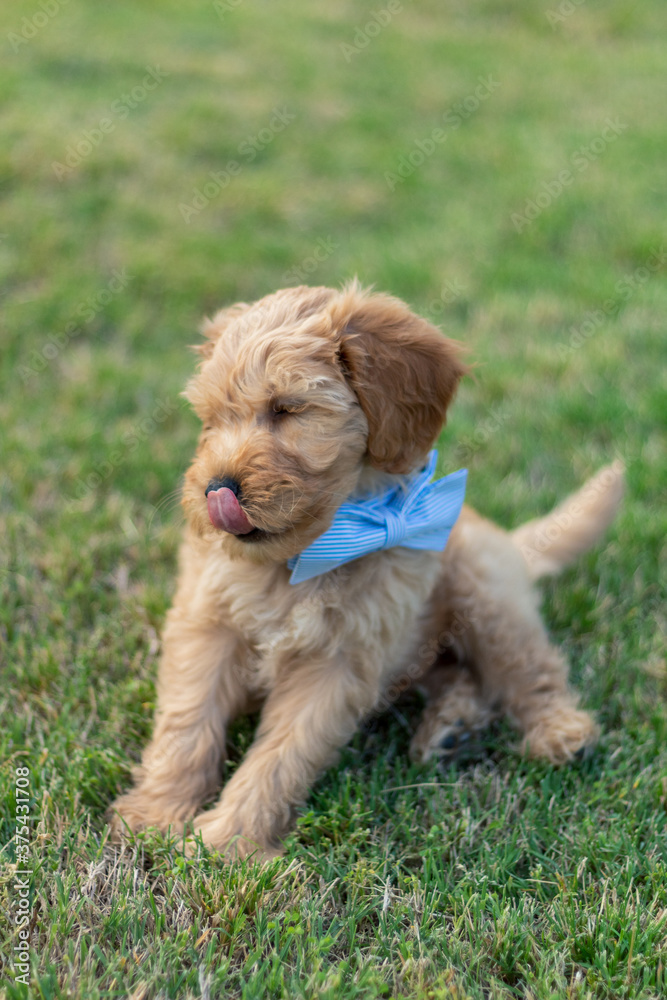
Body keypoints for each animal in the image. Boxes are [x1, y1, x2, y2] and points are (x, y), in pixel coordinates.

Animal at [107, 282, 624, 860]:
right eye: (211, 421)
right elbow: (186, 725)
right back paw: (453, 727)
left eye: (288, 408)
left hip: (486, 595)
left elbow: (280, 756)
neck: (304, 557)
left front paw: (231, 840)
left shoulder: (337, 664)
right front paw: (157, 815)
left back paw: (560, 732)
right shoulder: (206, 626)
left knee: (532, 671)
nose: (215, 491)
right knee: (459, 677)